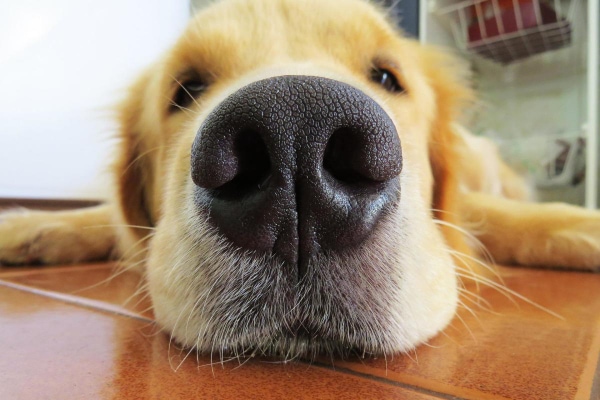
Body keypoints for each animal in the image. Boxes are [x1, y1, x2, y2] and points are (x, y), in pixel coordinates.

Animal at [1, 0, 600, 360]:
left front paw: (583, 227)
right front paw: (29, 227)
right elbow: (107, 219)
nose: (297, 137)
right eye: (186, 89)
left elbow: (504, 216)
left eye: (388, 77)